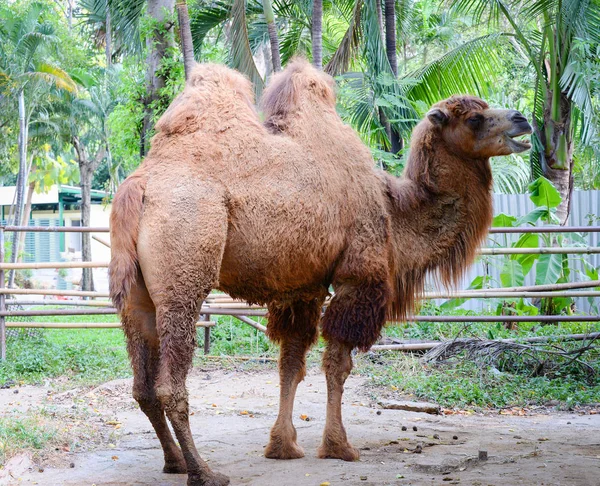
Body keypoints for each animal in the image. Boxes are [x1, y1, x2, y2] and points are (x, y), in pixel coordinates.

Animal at [108, 58, 528, 486]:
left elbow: (290, 365)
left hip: (134, 293)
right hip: (184, 269)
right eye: (475, 118)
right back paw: (204, 472)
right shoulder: (358, 278)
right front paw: (339, 446)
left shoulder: (301, 288)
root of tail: (139, 187)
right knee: (169, 385)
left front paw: (282, 446)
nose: (522, 119)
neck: (393, 211)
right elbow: (338, 366)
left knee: (142, 385)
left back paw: (174, 461)